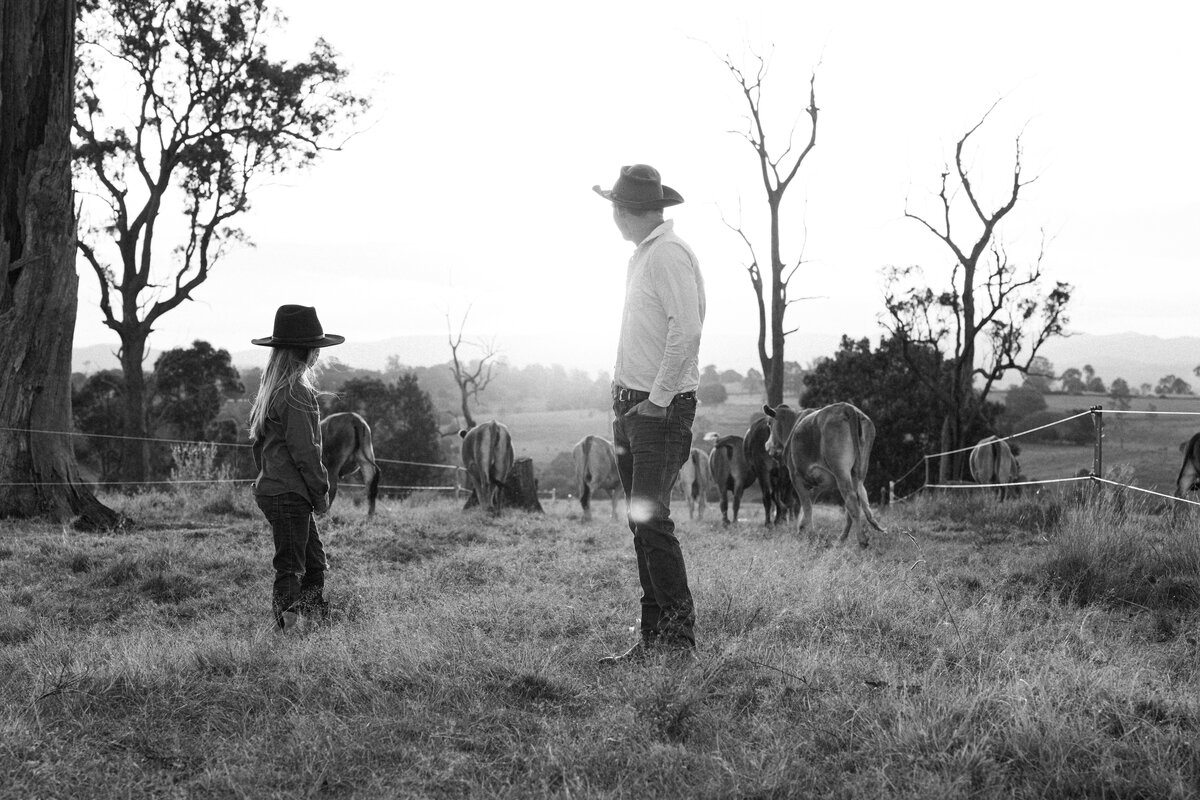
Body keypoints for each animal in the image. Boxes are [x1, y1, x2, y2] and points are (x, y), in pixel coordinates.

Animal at [763, 402, 888, 546]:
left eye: (769, 424)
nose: (767, 446)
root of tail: (846, 407)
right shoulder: (826, 480)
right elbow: (810, 500)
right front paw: (803, 527)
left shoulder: (795, 476)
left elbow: (806, 504)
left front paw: (808, 533)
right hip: (858, 469)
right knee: (855, 499)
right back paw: (842, 539)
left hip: (840, 469)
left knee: (851, 499)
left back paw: (861, 540)